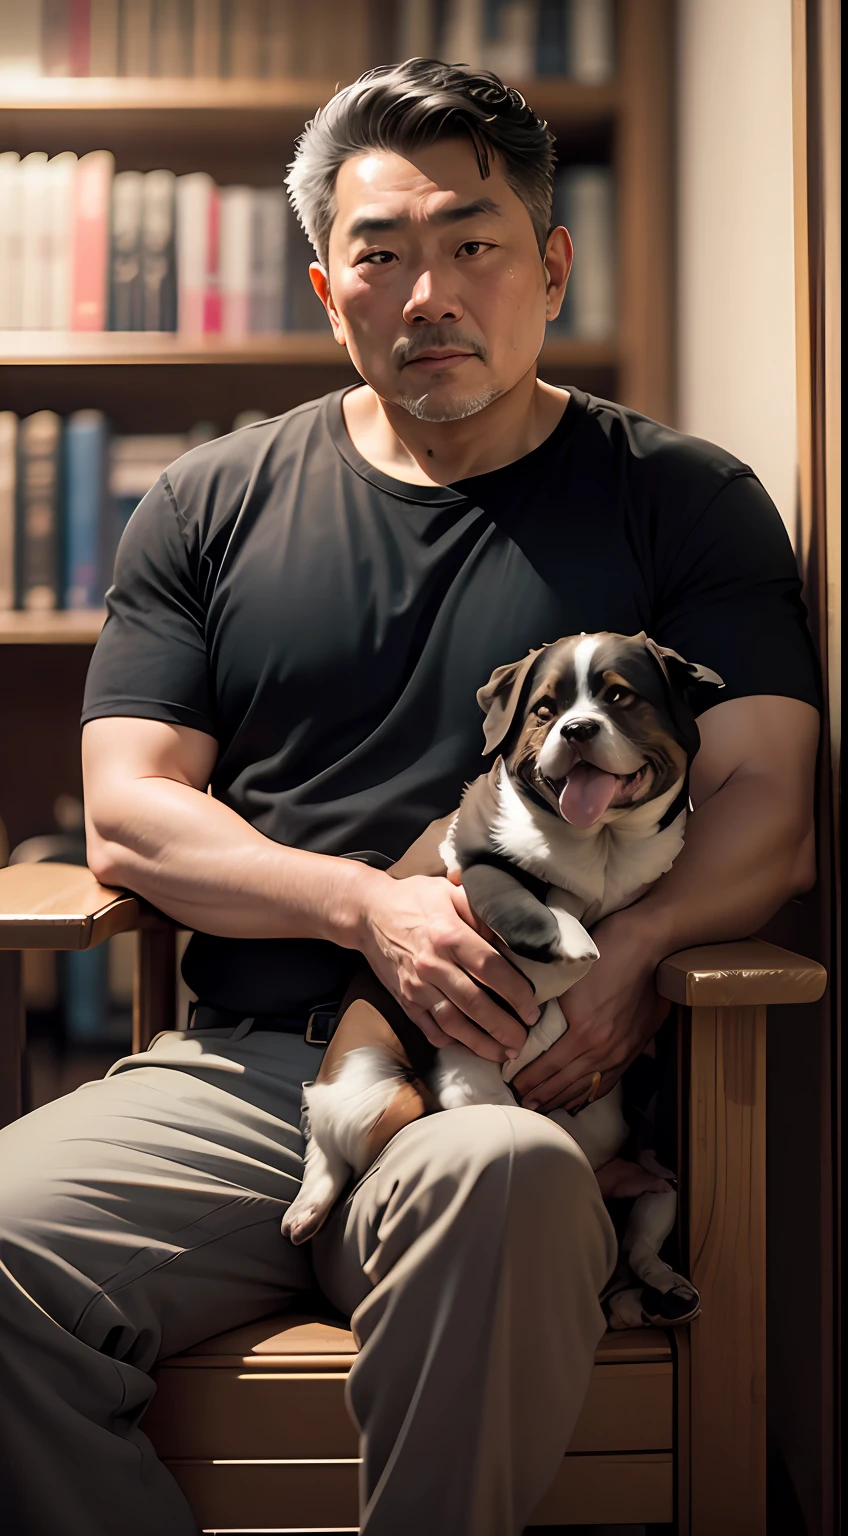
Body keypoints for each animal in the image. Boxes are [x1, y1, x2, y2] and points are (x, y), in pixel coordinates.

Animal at [282, 629, 722, 1327]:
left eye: (619, 697)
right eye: (545, 708)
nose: (576, 729)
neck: (598, 842)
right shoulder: (464, 856)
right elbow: (517, 891)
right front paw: (562, 938)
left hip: (660, 1183)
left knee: (640, 1235)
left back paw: (655, 1287)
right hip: (378, 1093)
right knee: (331, 1140)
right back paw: (309, 1205)